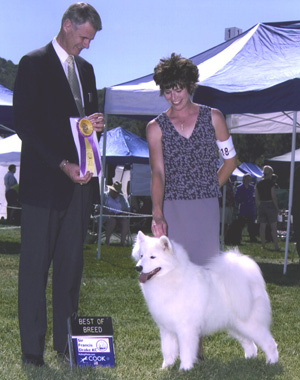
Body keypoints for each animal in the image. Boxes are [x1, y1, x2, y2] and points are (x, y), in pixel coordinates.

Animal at [132, 230, 278, 370]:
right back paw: (249, 359)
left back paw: (271, 363)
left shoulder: (186, 329)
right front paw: (165, 367)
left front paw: (185, 369)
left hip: (250, 324)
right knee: (250, 344)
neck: (171, 278)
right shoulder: (166, 329)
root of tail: (250, 280)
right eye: (141, 256)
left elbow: (186, 351)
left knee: (270, 343)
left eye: (153, 257)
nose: (138, 267)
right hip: (236, 326)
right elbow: (167, 351)